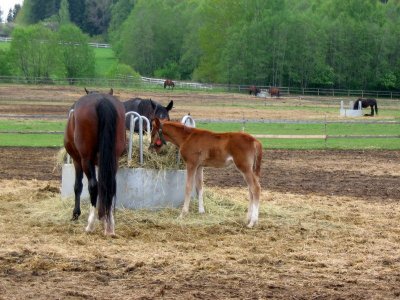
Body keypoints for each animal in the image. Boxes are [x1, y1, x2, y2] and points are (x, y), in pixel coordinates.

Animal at [63, 92, 126, 236]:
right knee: (110, 186)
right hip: (113, 160)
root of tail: (102, 101)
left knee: (93, 186)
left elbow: (77, 186)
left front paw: (76, 214)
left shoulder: (77, 160)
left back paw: (90, 224)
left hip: (86, 160)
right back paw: (110, 225)